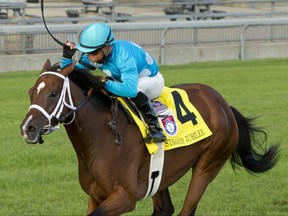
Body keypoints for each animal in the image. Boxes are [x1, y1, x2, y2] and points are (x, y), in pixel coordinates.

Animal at [20, 59, 280, 216]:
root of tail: (223, 104)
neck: (102, 138)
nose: (27, 128)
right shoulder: (95, 195)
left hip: (209, 164)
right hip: (159, 175)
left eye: (54, 94)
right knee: (165, 208)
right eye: (32, 92)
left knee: (187, 207)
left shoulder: (124, 196)